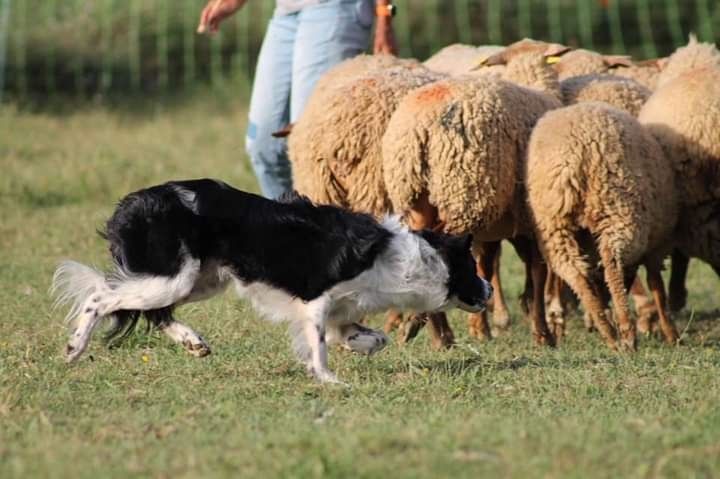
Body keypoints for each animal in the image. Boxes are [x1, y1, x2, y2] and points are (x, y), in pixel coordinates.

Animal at [49, 178, 490, 384]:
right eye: (472, 268)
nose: (487, 289)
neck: (404, 259)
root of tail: (131, 202)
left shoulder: (342, 308)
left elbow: (368, 336)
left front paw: (360, 346)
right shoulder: (316, 300)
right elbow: (319, 345)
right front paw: (330, 380)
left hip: (200, 280)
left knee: (157, 313)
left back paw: (193, 343)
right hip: (172, 277)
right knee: (101, 297)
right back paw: (74, 348)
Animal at [382, 44, 568, 344]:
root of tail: (418, 127)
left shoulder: (493, 228)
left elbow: (487, 267)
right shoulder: (531, 219)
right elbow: (537, 270)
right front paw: (542, 335)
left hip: (418, 197)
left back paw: (434, 334)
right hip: (465, 194)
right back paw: (423, 326)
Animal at [524, 103, 676, 350]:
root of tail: (572, 159)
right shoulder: (656, 244)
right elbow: (657, 285)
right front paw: (672, 334)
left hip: (553, 225)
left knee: (575, 272)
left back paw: (609, 332)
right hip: (617, 209)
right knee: (612, 264)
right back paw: (626, 333)